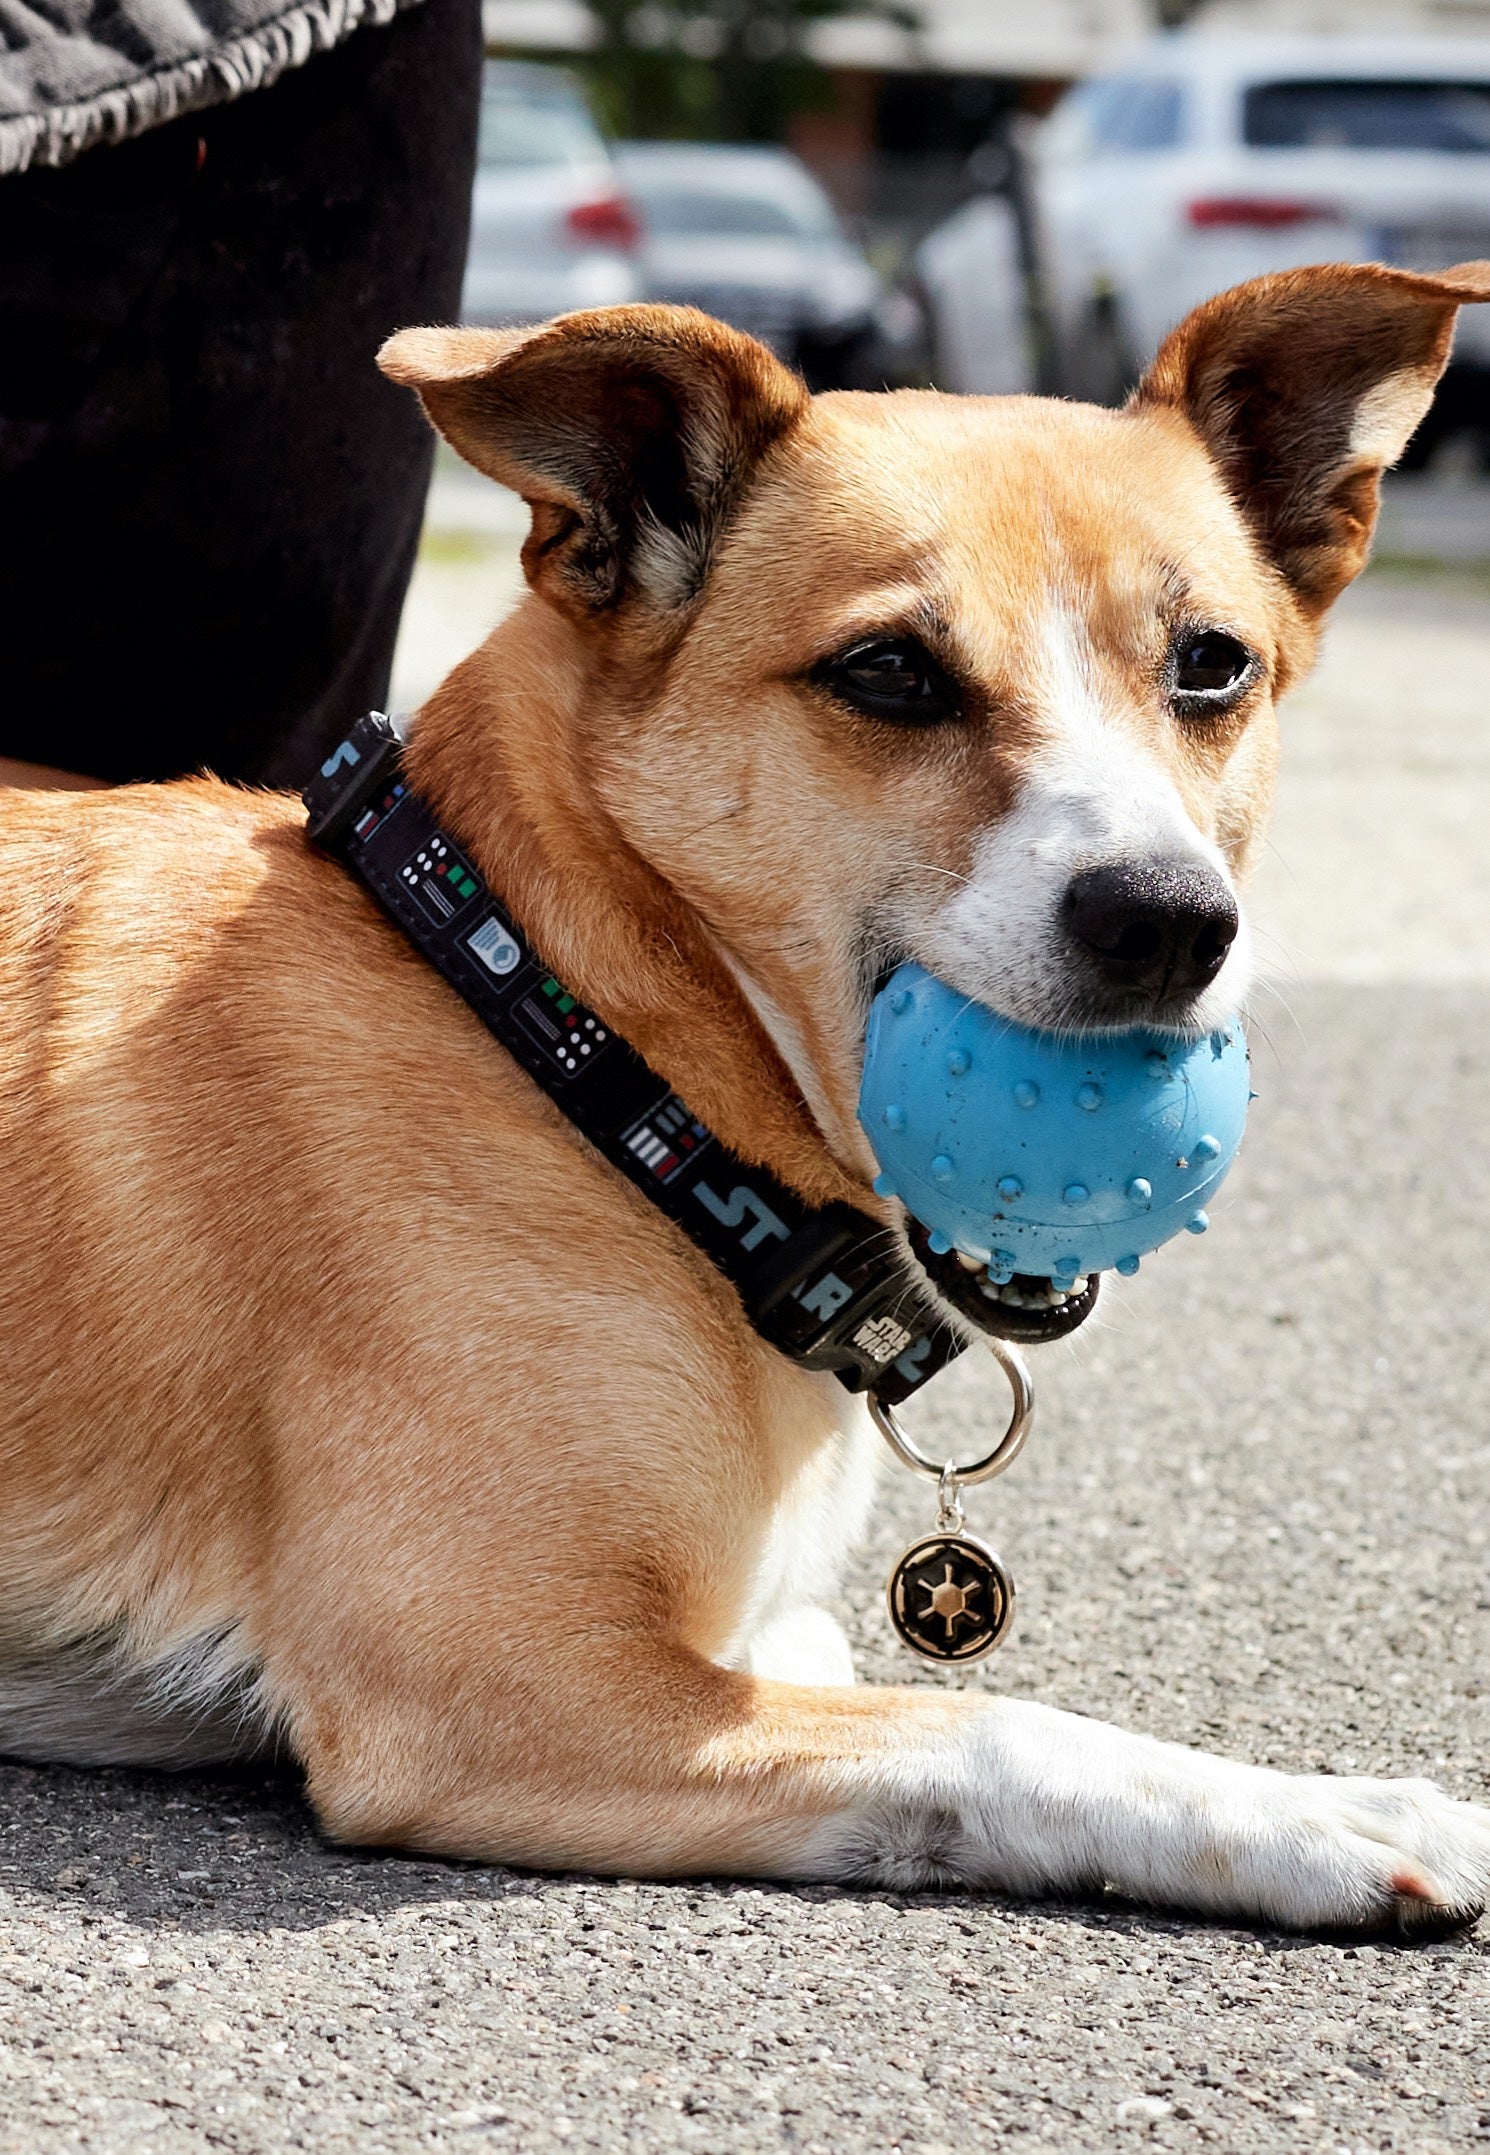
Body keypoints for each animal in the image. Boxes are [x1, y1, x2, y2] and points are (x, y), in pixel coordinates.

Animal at [2, 256, 1490, 1939]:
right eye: (888, 670)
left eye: (1212, 663)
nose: (1169, 922)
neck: (566, 1034)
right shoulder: (495, 1675)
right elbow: (991, 1726)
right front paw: (1314, 1809)